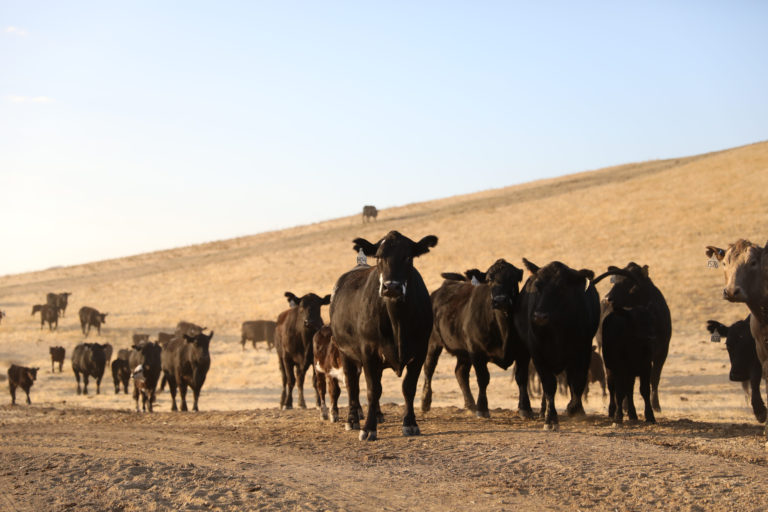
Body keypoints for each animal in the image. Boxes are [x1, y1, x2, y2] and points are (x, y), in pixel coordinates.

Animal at [330, 231, 437, 441]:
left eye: (408, 257)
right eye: (379, 257)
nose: (392, 287)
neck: (398, 323)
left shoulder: (420, 352)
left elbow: (408, 388)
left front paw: (410, 423)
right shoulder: (369, 351)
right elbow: (372, 390)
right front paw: (368, 429)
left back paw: (378, 415)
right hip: (345, 352)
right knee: (352, 384)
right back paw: (353, 419)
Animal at [420, 260, 532, 419]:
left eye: (514, 278)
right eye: (489, 279)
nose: (500, 300)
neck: (503, 329)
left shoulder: (523, 352)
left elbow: (521, 378)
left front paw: (525, 409)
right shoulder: (476, 351)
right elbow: (483, 378)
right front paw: (482, 409)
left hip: (463, 351)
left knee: (460, 372)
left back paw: (470, 405)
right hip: (432, 343)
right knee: (429, 368)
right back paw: (425, 402)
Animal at [514, 259, 623, 430]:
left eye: (561, 289)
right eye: (537, 286)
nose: (539, 316)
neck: (557, 329)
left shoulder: (582, 350)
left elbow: (577, 381)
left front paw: (574, 408)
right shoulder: (538, 353)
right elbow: (549, 385)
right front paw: (550, 419)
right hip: (524, 351)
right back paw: (534, 410)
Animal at [597, 262, 671, 412]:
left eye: (630, 283)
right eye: (615, 280)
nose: (607, 298)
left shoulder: (662, 351)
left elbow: (655, 378)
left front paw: (656, 406)